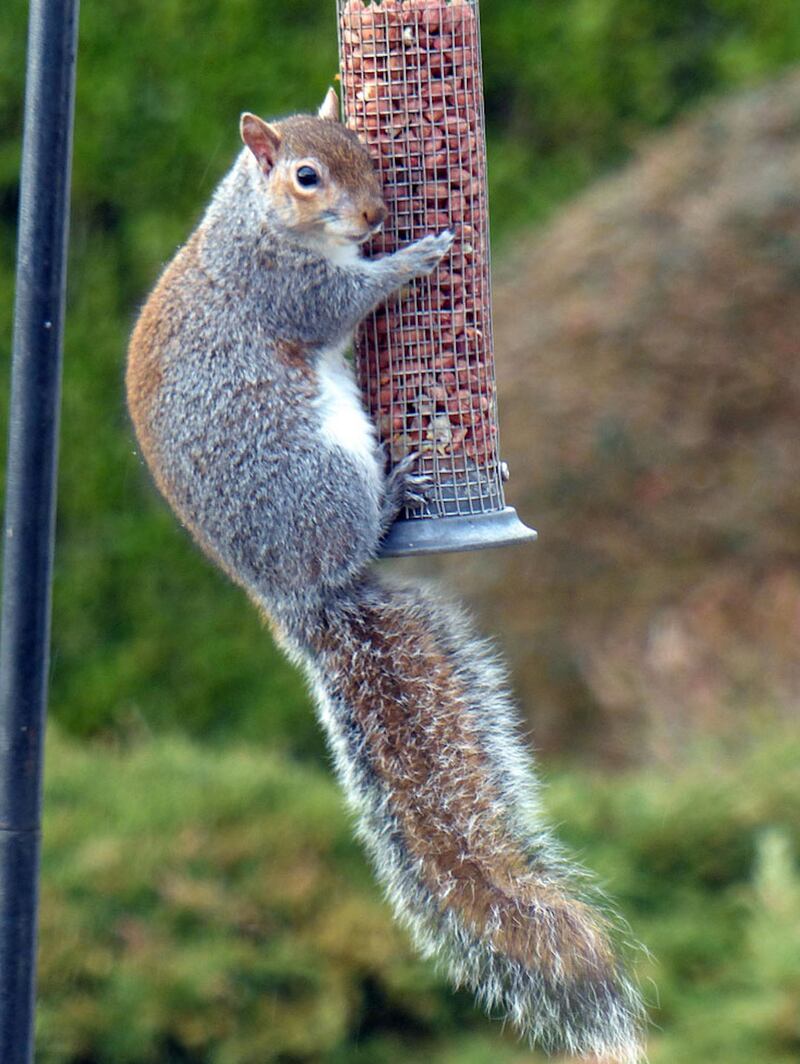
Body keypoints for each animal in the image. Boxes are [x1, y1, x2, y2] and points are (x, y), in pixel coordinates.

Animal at [126, 88, 645, 1062]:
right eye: (306, 175)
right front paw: (415, 257)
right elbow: (349, 296)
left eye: (366, 151)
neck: (256, 222)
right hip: (319, 475)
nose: (375, 216)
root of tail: (298, 593)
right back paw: (398, 490)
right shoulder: (288, 289)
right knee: (359, 532)